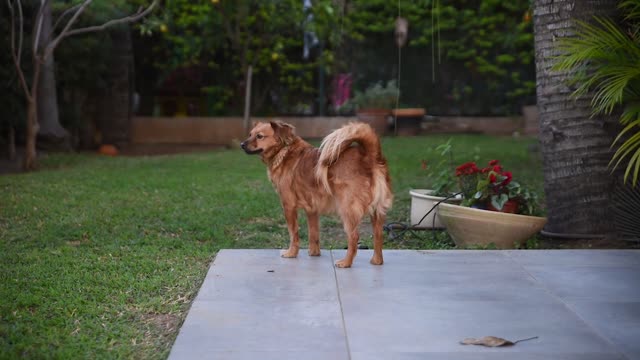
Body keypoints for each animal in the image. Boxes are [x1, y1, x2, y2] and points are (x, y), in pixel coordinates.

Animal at [240, 121, 390, 268]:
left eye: (259, 136)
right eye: (250, 134)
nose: (241, 144)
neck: (284, 151)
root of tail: (369, 157)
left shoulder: (289, 207)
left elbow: (293, 233)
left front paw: (291, 253)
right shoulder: (312, 209)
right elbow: (313, 234)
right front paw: (314, 253)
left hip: (347, 210)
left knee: (354, 237)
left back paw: (346, 262)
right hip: (377, 212)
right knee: (378, 235)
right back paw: (377, 261)